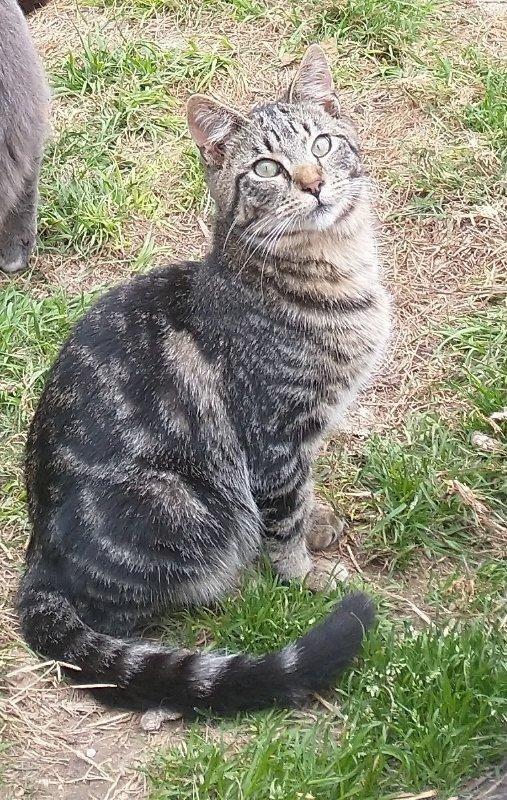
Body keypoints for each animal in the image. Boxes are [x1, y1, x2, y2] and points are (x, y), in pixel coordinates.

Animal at [18, 48, 392, 720]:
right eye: (267, 167)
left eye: (323, 143)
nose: (313, 182)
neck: (338, 272)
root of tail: (38, 566)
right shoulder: (273, 436)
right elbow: (284, 516)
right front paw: (303, 574)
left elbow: (305, 494)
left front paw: (319, 520)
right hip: (186, 505)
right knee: (121, 621)